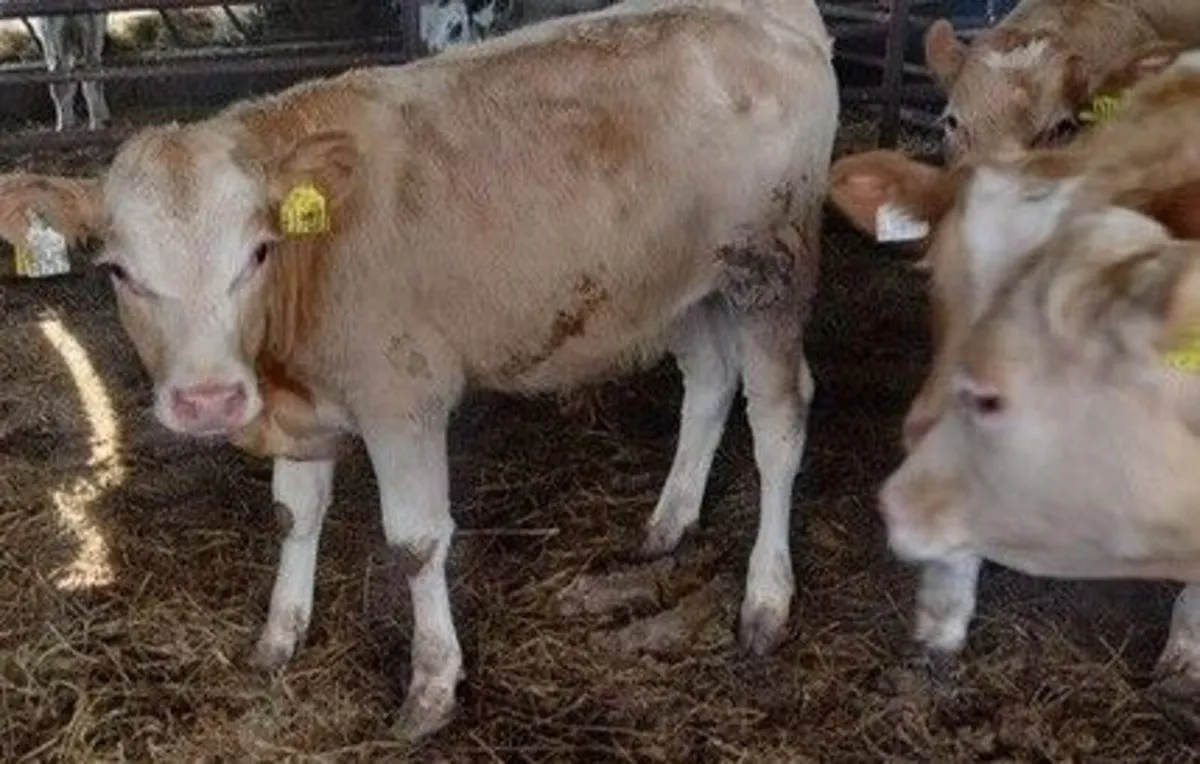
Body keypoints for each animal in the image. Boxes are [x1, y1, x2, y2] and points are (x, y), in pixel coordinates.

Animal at [0, 0, 838, 740]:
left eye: (259, 252)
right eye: (118, 270)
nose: (208, 398)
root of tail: (768, 14)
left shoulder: (403, 397)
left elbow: (415, 541)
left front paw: (432, 687)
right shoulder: (307, 403)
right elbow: (293, 515)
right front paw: (279, 637)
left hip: (769, 272)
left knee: (779, 422)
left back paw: (766, 600)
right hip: (679, 290)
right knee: (710, 383)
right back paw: (668, 523)